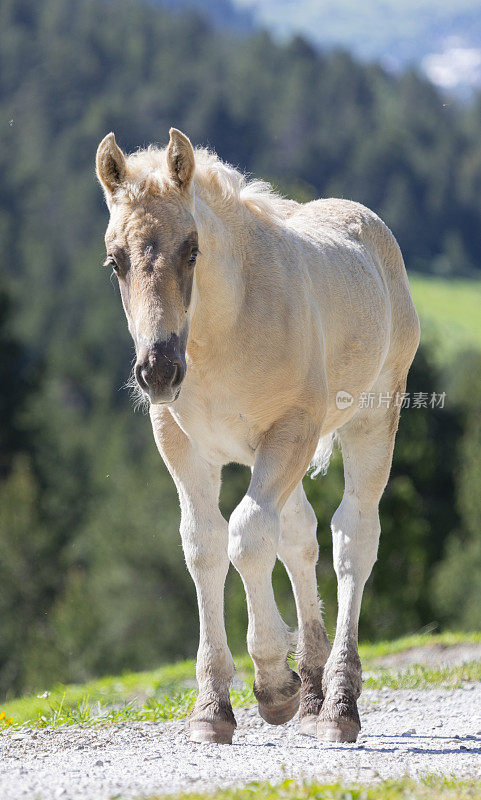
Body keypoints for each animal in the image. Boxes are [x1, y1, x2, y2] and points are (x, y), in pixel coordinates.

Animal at [95, 125, 418, 744]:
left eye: (191, 249)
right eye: (115, 261)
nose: (159, 371)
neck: (223, 335)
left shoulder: (289, 431)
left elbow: (245, 536)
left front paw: (272, 684)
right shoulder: (184, 449)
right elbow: (204, 545)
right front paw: (212, 709)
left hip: (369, 421)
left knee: (351, 537)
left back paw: (337, 705)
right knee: (299, 534)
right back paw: (313, 692)